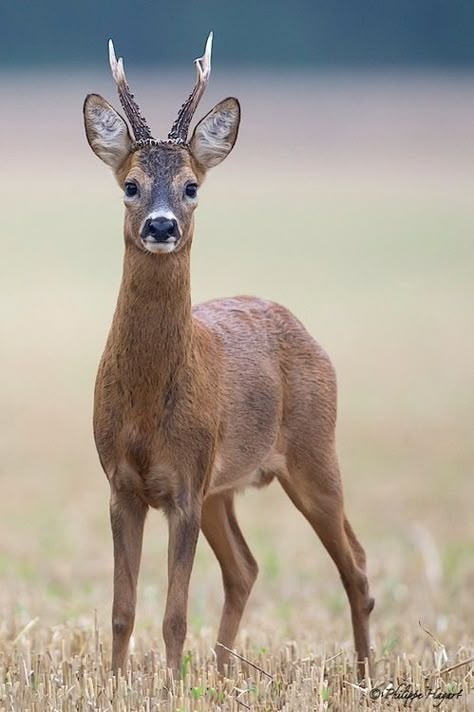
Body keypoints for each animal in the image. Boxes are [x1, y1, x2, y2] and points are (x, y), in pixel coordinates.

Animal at [84, 33, 374, 680]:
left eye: (192, 186)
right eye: (129, 185)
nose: (161, 225)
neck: (145, 409)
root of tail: (300, 326)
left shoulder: (186, 485)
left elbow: (173, 614)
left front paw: (168, 687)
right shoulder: (123, 484)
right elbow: (121, 610)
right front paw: (116, 685)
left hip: (315, 449)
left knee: (357, 565)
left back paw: (368, 678)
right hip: (226, 487)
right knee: (246, 568)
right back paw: (219, 676)